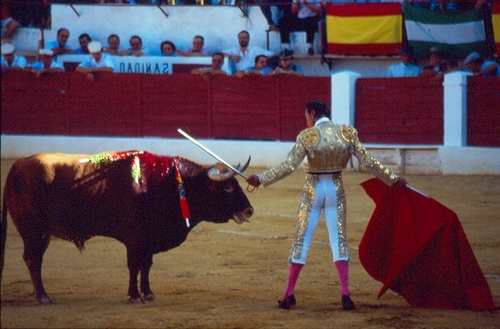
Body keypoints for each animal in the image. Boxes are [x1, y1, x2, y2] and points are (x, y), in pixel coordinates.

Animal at [0, 151, 254, 302]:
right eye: (228, 188)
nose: (249, 210)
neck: (165, 183)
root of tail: (19, 164)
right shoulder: (134, 238)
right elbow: (134, 265)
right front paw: (134, 295)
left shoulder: (149, 239)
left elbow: (146, 265)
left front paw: (148, 293)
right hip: (34, 231)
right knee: (33, 259)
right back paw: (42, 296)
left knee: (33, 259)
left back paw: (38, 293)